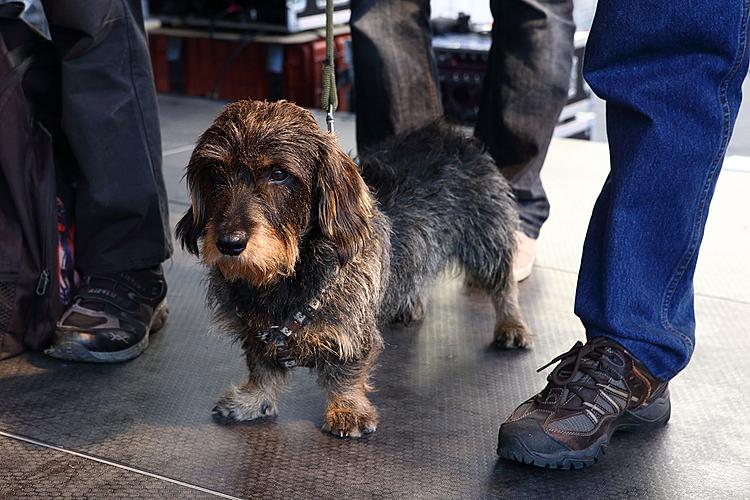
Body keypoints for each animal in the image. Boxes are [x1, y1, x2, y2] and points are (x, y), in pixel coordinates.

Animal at [177, 99, 532, 436]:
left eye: (279, 174)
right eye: (215, 173)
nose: (229, 243)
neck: (288, 276)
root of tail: (452, 134)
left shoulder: (351, 333)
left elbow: (346, 373)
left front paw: (347, 411)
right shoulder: (257, 331)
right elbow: (261, 368)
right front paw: (254, 399)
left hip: (486, 237)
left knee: (503, 283)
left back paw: (511, 325)